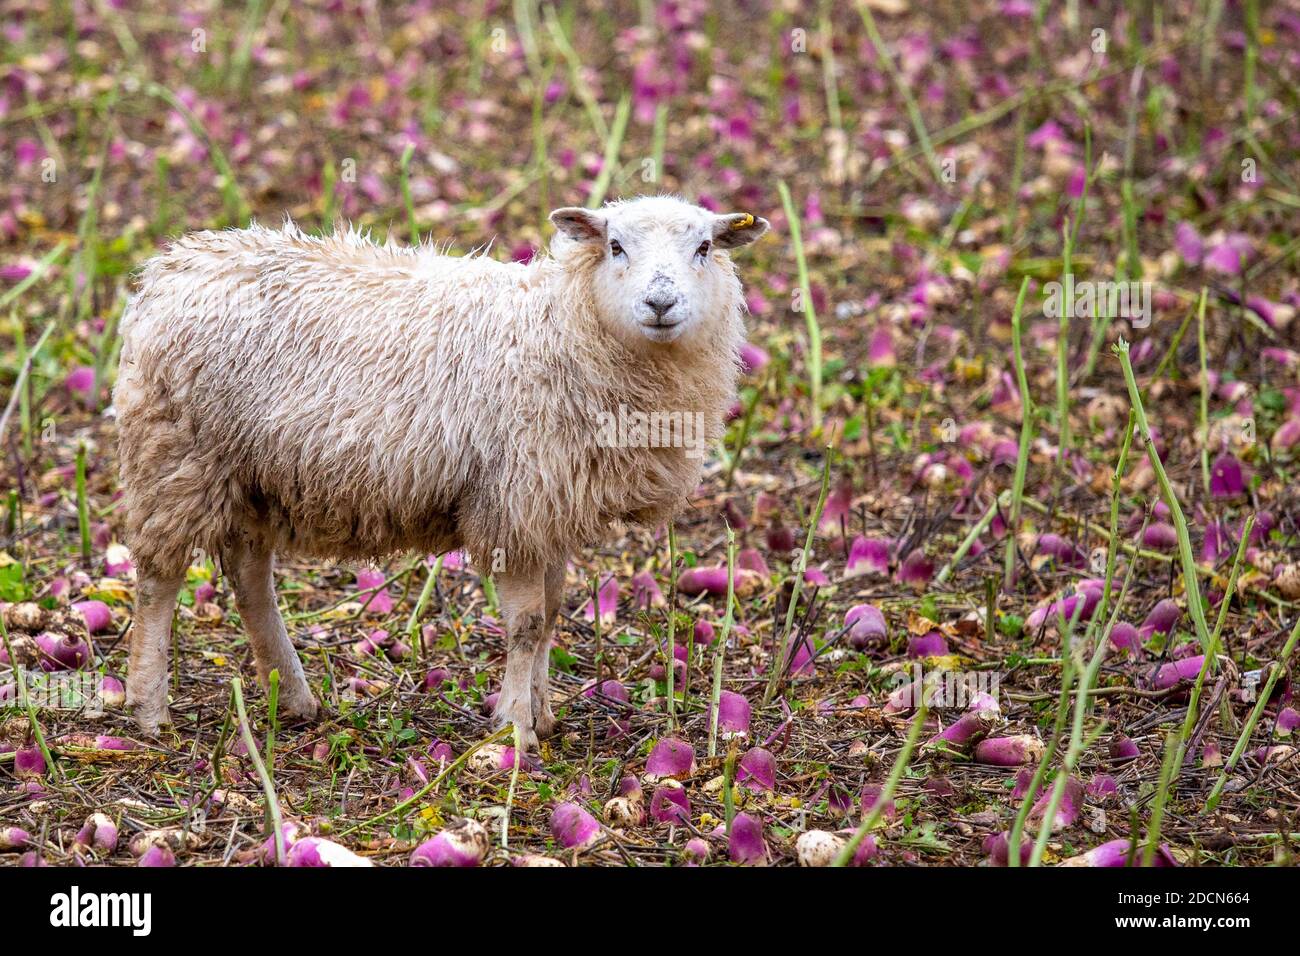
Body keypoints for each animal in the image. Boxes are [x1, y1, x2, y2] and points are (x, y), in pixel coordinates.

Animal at [114, 195, 769, 746]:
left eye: (704, 248)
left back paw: (295, 698)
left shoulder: (550, 507)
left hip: (253, 473)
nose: (661, 303)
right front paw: (515, 730)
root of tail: (171, 268)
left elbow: (552, 615)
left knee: (250, 580)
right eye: (615, 246)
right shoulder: (515, 503)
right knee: (157, 582)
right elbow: (527, 624)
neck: (560, 326)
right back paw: (149, 707)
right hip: (177, 455)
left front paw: (541, 715)